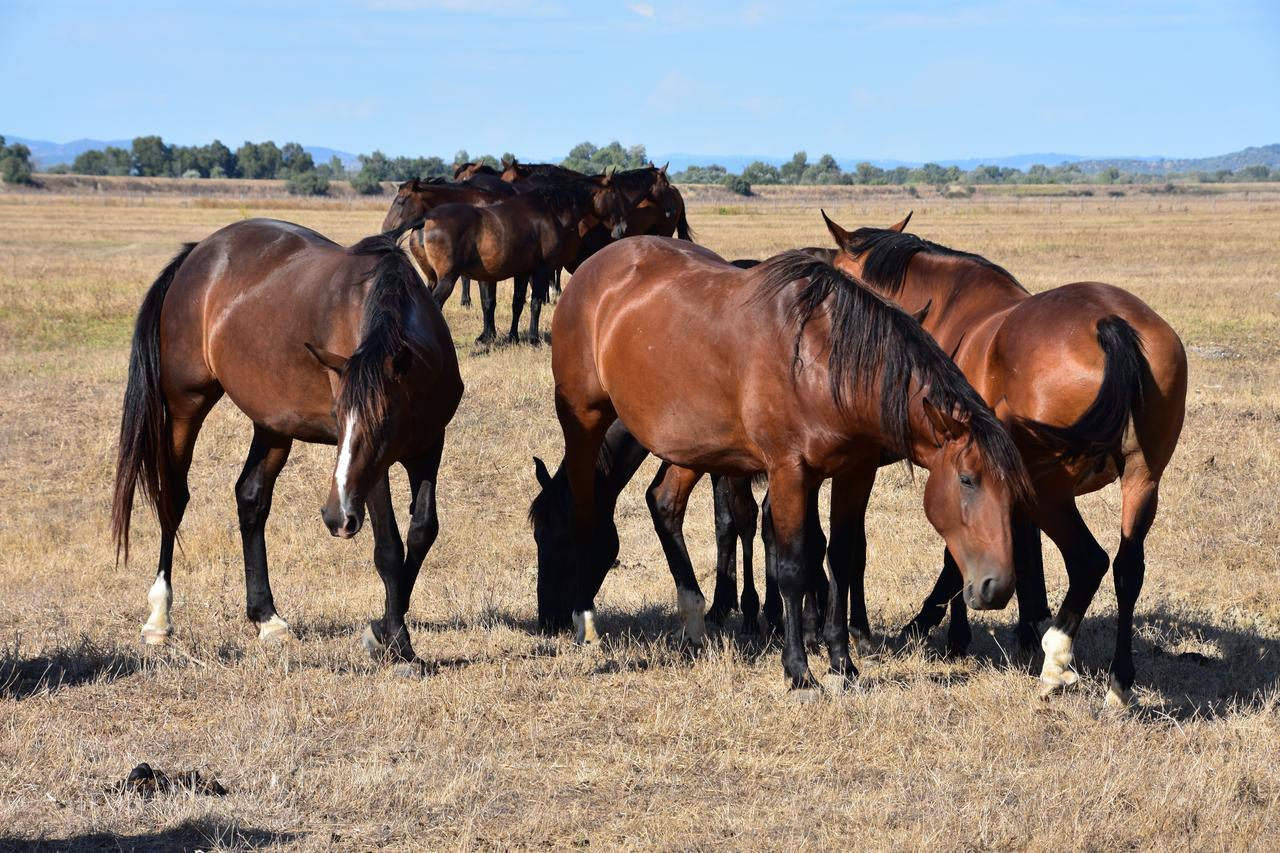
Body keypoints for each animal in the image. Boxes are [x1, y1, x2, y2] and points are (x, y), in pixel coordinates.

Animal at [110, 217, 460, 655]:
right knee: (172, 498)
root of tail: (197, 253)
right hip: (185, 405)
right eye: (337, 415)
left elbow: (423, 532)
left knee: (251, 498)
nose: (336, 517)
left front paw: (383, 626)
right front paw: (394, 638)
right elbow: (390, 548)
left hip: (272, 425)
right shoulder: (372, 471)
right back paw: (159, 617)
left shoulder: (430, 446)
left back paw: (267, 618)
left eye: (385, 419)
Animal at [412, 178, 627, 343]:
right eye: (615, 197)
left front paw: (513, 337)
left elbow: (517, 303)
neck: (549, 211)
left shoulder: (522, 272)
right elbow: (535, 303)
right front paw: (533, 338)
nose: (622, 228)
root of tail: (426, 218)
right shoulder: (542, 269)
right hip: (447, 279)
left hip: (432, 279)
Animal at [547, 235, 1029, 686]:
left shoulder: (853, 473)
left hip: (691, 444)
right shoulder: (788, 472)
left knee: (664, 503)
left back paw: (695, 622)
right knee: (584, 509)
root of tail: (594, 266)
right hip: (584, 421)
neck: (825, 363)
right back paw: (586, 621)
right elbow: (795, 565)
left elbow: (840, 557)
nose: (998, 586)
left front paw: (842, 662)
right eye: (967, 479)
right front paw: (798, 668)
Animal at [819, 211, 1187, 701]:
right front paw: (1026, 622)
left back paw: (1056, 661)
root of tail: (1113, 325)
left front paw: (948, 631)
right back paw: (1118, 681)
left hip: (1050, 490)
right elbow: (1017, 547)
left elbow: (958, 552)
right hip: (1142, 480)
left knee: (1089, 560)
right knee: (1129, 569)